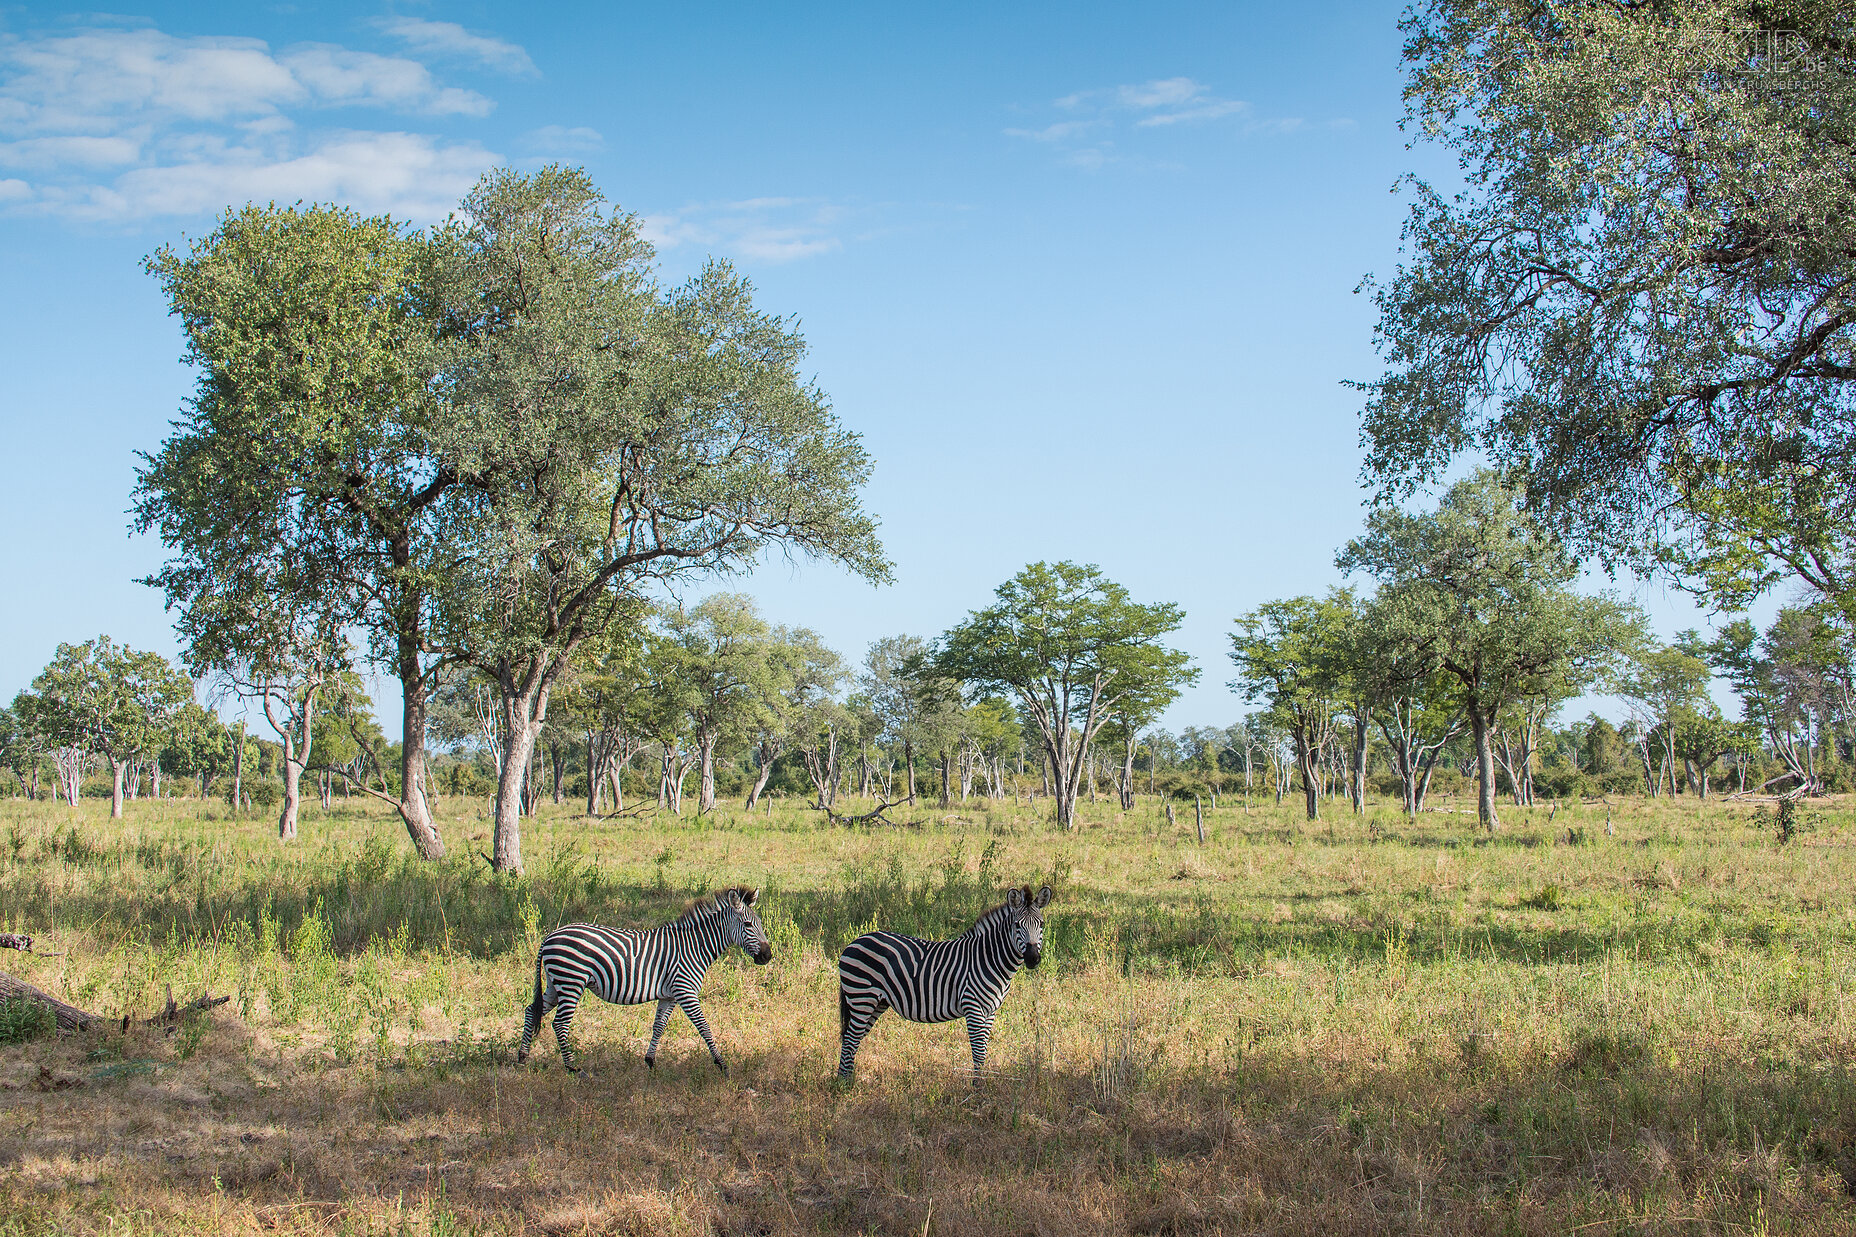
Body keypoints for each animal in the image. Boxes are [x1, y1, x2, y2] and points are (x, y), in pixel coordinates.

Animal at [512, 887, 772, 1069]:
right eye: (748, 924)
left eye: (760, 924)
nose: (767, 956)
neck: (693, 947)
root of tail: (550, 936)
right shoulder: (685, 991)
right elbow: (704, 1027)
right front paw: (721, 1064)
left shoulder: (669, 995)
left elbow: (659, 1026)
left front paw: (650, 1061)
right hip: (571, 981)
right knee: (560, 1023)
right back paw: (572, 1068)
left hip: (555, 984)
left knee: (531, 1010)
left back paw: (522, 1057)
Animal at [838, 876, 1054, 1077]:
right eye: (1017, 925)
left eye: (1042, 925)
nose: (1033, 959)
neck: (988, 957)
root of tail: (854, 942)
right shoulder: (973, 1007)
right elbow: (977, 1052)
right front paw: (976, 1089)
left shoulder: (990, 1011)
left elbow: (983, 1052)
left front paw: (982, 1084)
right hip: (861, 998)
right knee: (850, 1039)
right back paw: (844, 1084)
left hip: (877, 1002)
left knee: (852, 1038)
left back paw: (846, 1079)